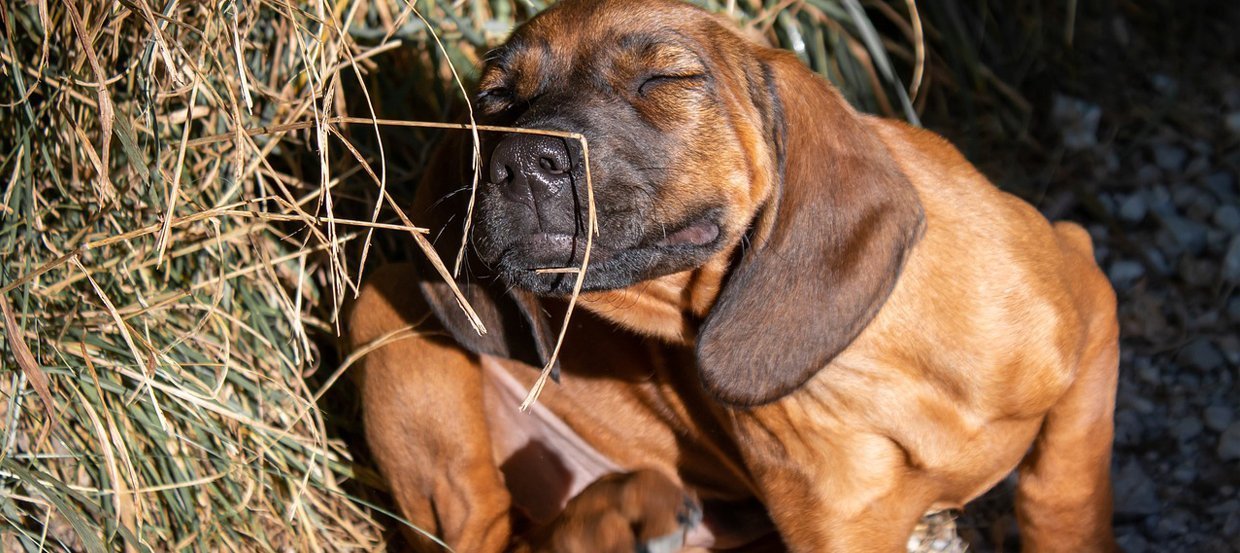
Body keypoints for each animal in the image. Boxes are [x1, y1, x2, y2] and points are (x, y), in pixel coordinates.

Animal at [344, 2, 1120, 550]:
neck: (864, 362)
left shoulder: (1090, 291)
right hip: (385, 310)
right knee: (483, 538)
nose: (522, 162)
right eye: (497, 101)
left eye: (665, 79)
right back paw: (621, 512)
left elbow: (1065, 487)